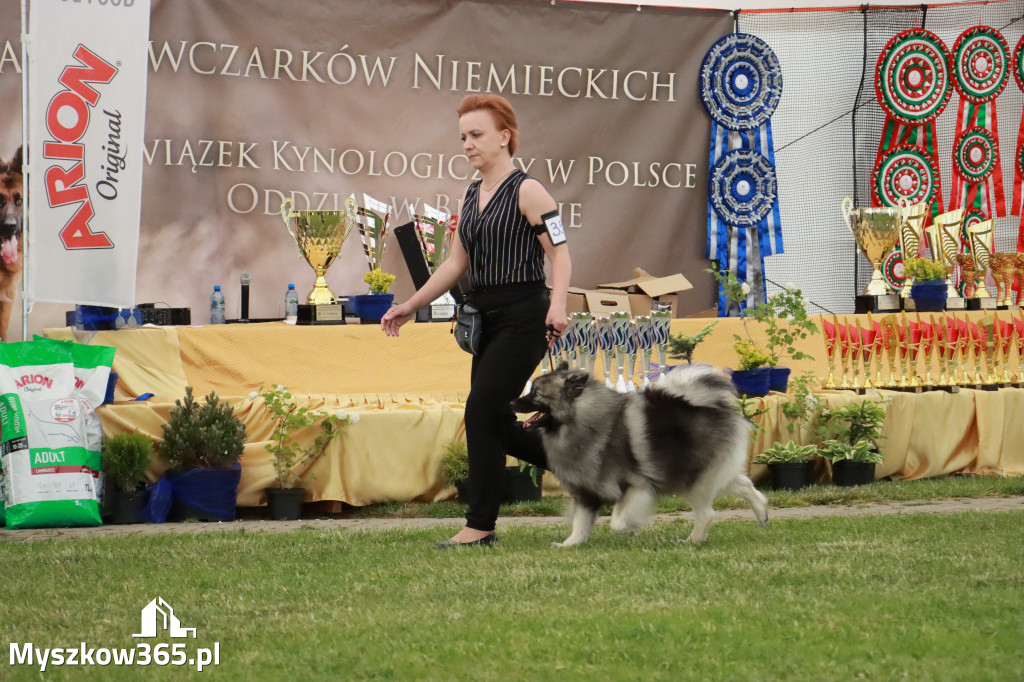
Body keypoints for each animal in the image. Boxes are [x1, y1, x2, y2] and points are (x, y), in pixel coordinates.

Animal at [512, 360, 770, 548]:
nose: (512, 402)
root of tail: (712, 403)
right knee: (744, 484)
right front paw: (570, 544)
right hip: (705, 473)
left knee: (707, 513)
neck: (581, 422)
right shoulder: (586, 493)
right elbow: (580, 523)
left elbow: (616, 521)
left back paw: (693, 540)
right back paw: (762, 513)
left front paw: (630, 527)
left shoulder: (635, 485)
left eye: (536, 394)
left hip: (693, 479)